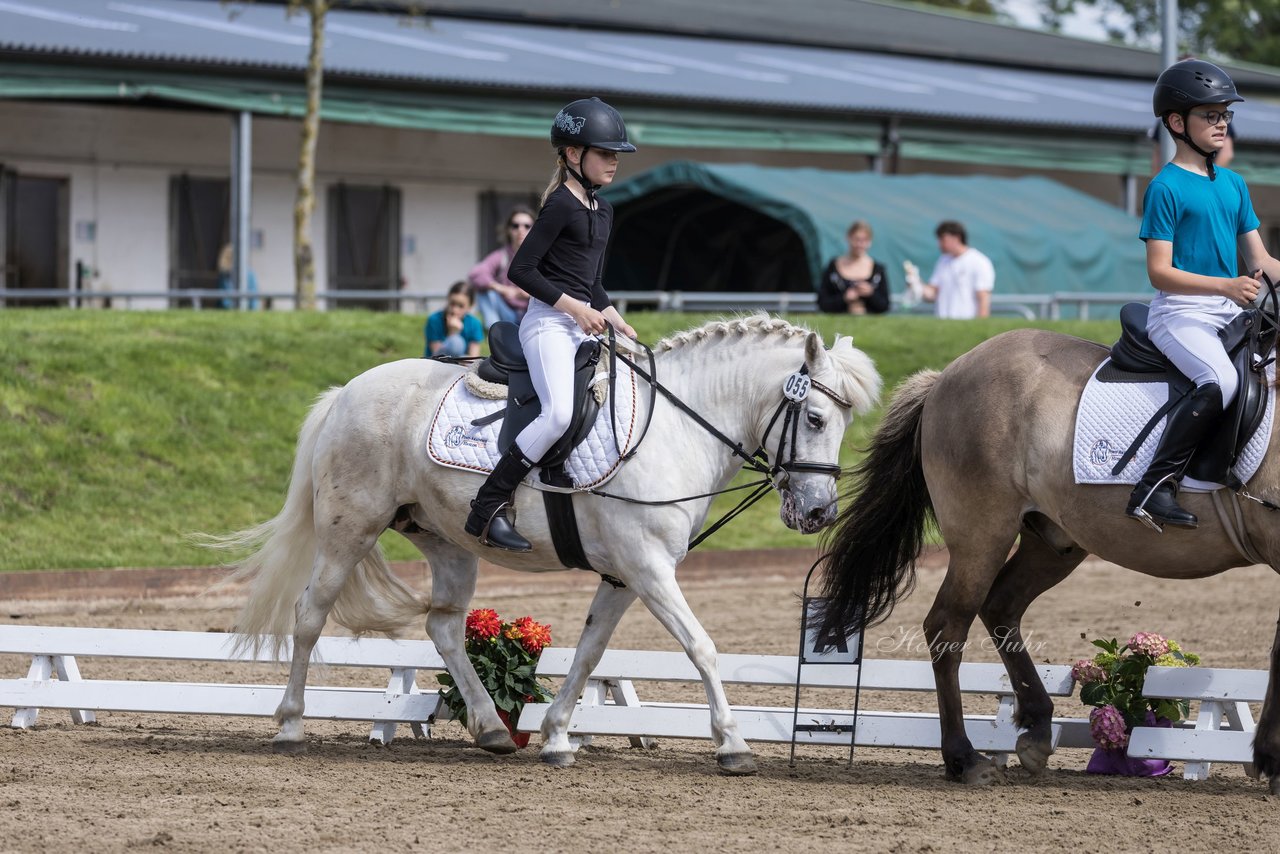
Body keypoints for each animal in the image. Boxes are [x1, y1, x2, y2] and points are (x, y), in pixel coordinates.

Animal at [217, 317, 880, 778]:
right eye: (816, 419)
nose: (819, 512)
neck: (676, 428)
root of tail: (347, 391)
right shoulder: (649, 569)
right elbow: (702, 647)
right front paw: (734, 744)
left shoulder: (626, 576)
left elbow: (589, 652)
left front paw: (558, 736)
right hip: (349, 528)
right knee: (310, 614)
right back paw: (289, 724)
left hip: (446, 541)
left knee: (444, 627)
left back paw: (491, 728)